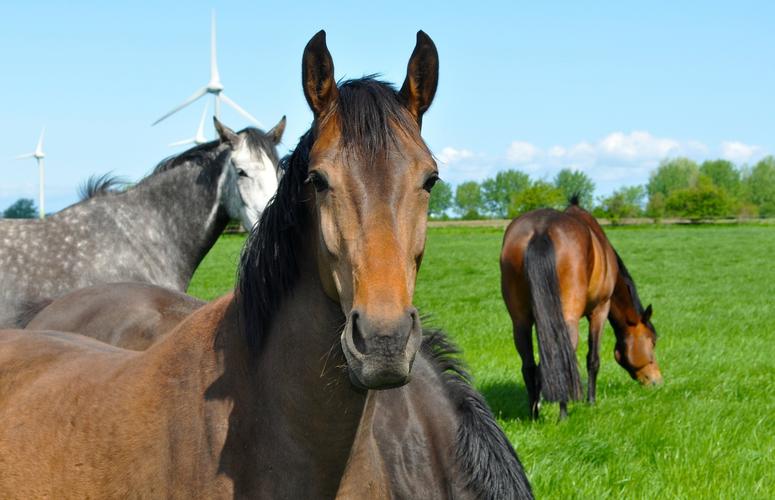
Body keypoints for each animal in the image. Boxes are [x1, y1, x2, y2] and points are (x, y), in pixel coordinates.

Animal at [504, 197, 660, 420]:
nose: (657, 381)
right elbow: (593, 359)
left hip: (520, 321)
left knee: (529, 365)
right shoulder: (600, 310)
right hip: (568, 317)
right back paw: (563, 415)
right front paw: (591, 402)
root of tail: (540, 230)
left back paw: (534, 414)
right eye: (653, 341)